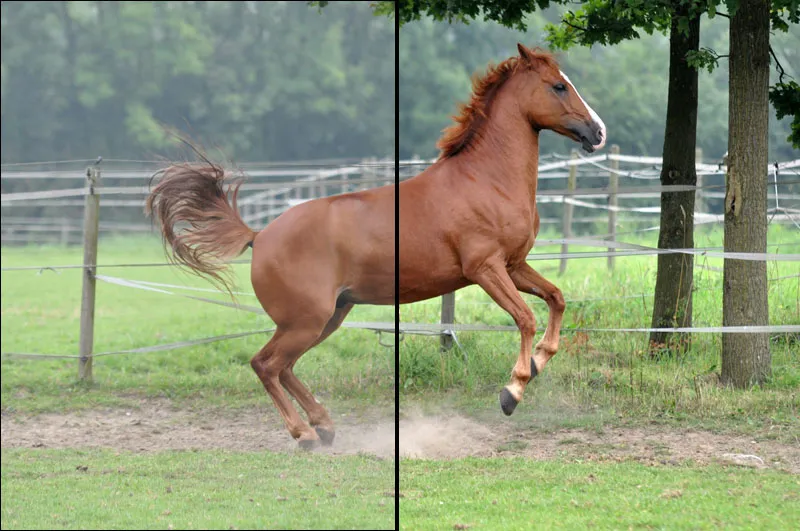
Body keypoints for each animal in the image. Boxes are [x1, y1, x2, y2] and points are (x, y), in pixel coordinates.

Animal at [400, 44, 608, 416]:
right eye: (559, 86)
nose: (598, 133)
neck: (489, 182)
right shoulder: (485, 269)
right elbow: (525, 317)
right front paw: (513, 389)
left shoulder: (513, 265)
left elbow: (556, 297)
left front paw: (539, 360)